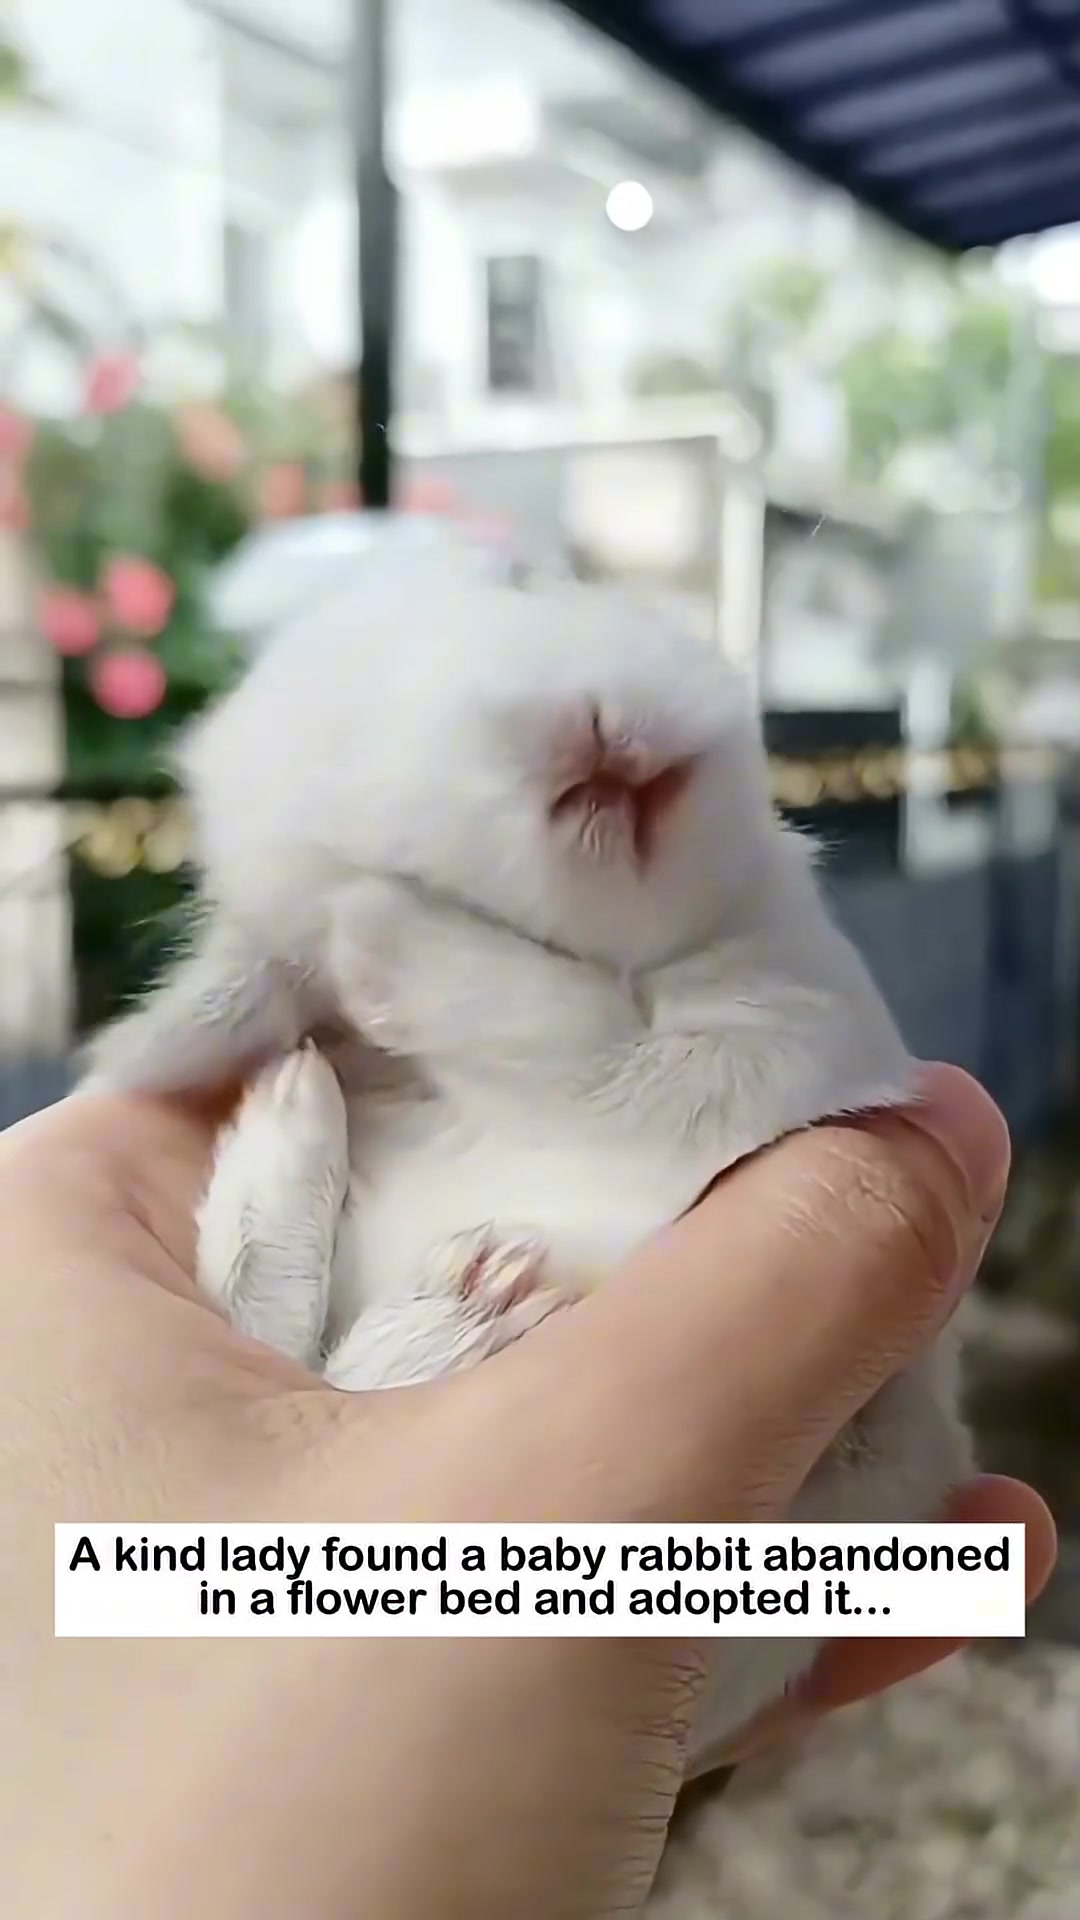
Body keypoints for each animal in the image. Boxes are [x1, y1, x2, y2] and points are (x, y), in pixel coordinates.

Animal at [82, 533, 973, 1775]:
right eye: (434, 880)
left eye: (524, 588)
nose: (587, 745)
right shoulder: (682, 1061)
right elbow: (545, 1020)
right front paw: (375, 937)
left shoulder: (779, 1032)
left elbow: (584, 1040)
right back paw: (440, 1289)